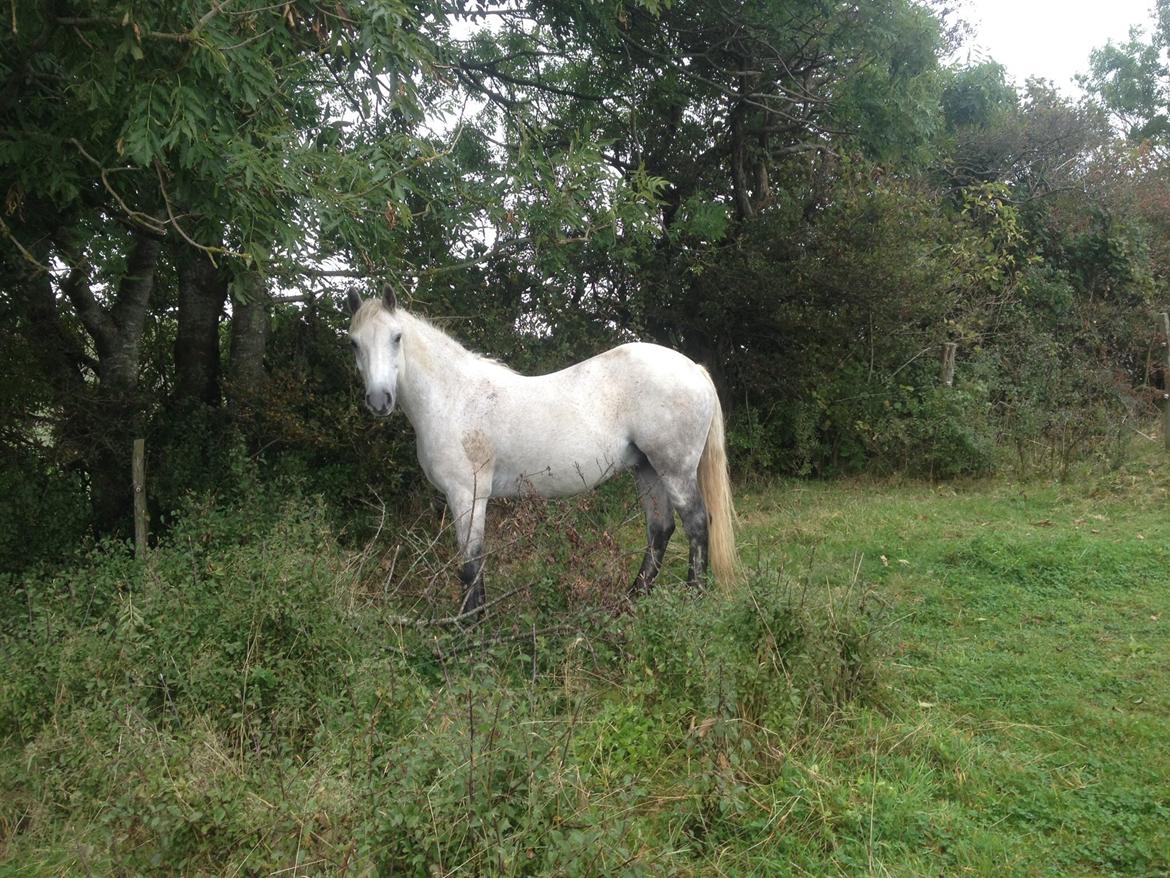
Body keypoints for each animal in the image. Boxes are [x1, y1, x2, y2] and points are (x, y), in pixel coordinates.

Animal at [343, 285, 739, 613]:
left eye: (396, 338)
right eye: (354, 343)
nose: (379, 400)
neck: (455, 398)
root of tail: (694, 369)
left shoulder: (467, 495)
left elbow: (470, 564)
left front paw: (468, 628)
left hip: (674, 469)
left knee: (696, 523)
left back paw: (692, 599)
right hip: (647, 469)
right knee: (660, 530)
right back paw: (630, 602)